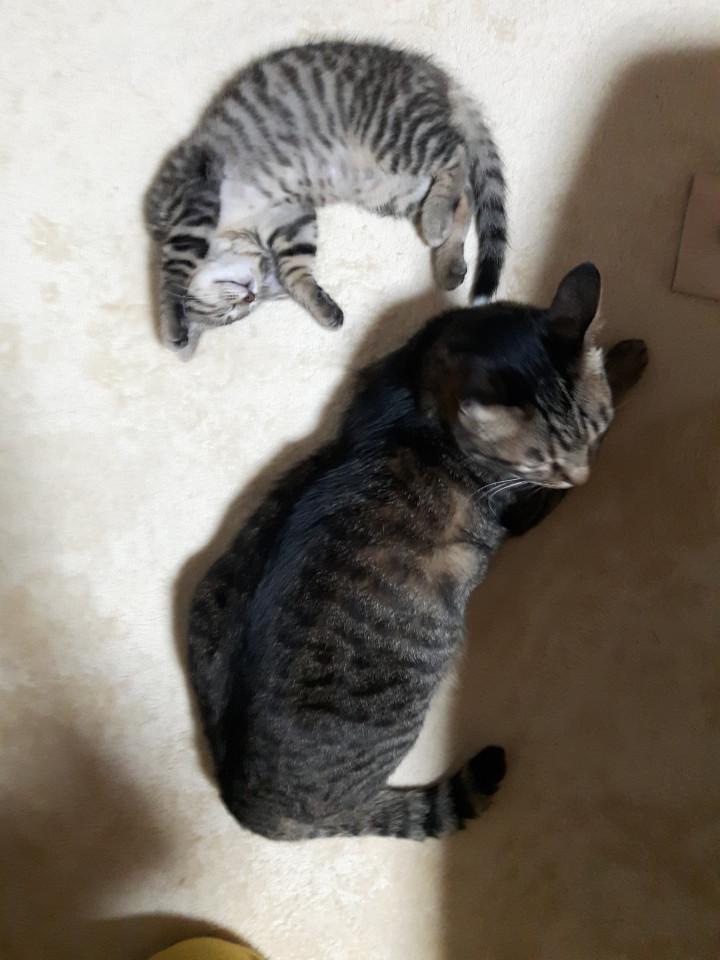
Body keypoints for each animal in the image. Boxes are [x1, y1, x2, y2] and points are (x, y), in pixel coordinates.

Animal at [145, 41, 506, 356]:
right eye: (234, 314)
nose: (248, 297)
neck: (237, 231)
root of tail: (429, 70)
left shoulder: (192, 196)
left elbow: (174, 269)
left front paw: (171, 322)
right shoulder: (289, 215)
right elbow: (295, 267)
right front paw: (321, 306)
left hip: (395, 134)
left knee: (457, 157)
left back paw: (435, 219)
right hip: (393, 189)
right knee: (466, 198)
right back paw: (448, 259)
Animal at [186, 263, 649, 840]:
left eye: (596, 430)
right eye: (544, 465)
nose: (581, 477)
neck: (424, 379)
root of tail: (242, 802)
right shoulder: (523, 505)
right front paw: (629, 357)